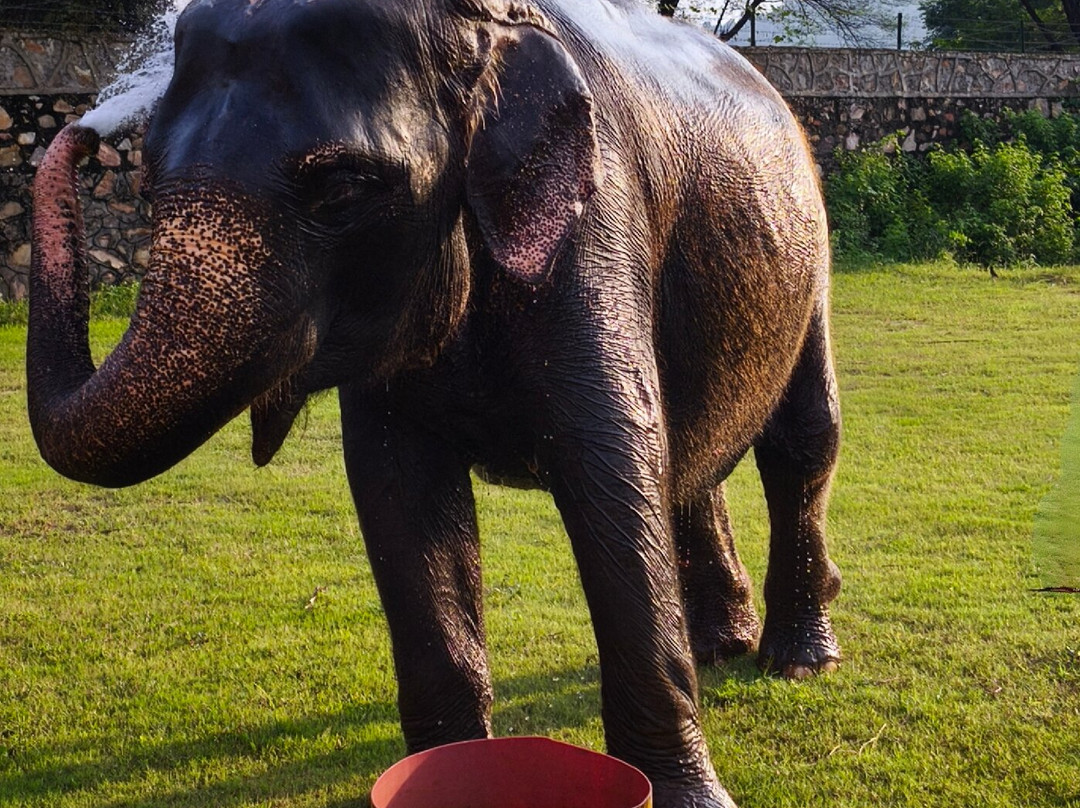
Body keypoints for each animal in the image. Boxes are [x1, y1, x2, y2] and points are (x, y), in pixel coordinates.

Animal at [28, 0, 843, 805]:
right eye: (145, 186)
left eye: (342, 189)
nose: (83, 130)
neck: (477, 28)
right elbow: (400, 494)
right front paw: (445, 766)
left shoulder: (597, 225)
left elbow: (612, 467)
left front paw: (685, 796)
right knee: (692, 458)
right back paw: (721, 646)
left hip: (812, 253)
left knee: (801, 440)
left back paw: (797, 660)